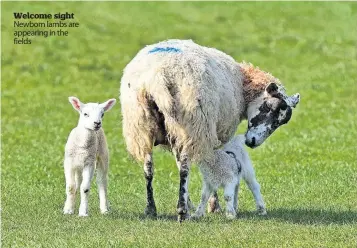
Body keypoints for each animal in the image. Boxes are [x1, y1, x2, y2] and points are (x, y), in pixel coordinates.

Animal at [119, 39, 298, 221]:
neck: (243, 83)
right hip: (193, 123)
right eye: (268, 107)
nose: (253, 142)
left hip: (141, 126)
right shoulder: (215, 134)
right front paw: (214, 205)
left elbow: (181, 163)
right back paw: (182, 212)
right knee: (184, 168)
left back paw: (151, 209)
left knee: (149, 167)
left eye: (281, 122)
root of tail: (157, 78)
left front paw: (193, 203)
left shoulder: (178, 136)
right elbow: (213, 163)